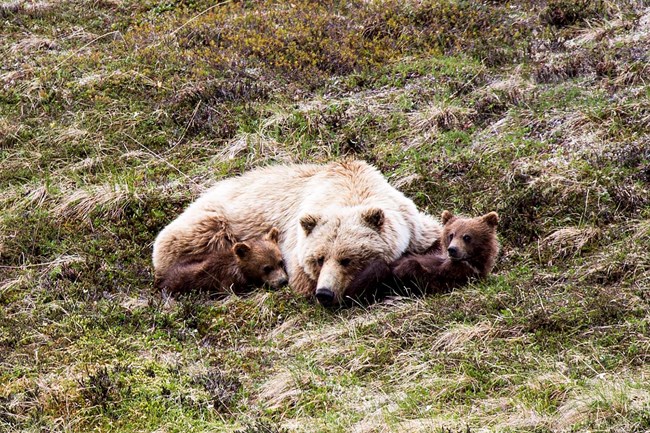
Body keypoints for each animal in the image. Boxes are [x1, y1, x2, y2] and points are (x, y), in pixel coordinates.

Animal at [344, 210, 496, 300]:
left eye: (467, 237)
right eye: (451, 235)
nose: (452, 249)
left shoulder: (460, 273)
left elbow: (425, 278)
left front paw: (402, 269)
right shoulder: (433, 251)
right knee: (378, 266)